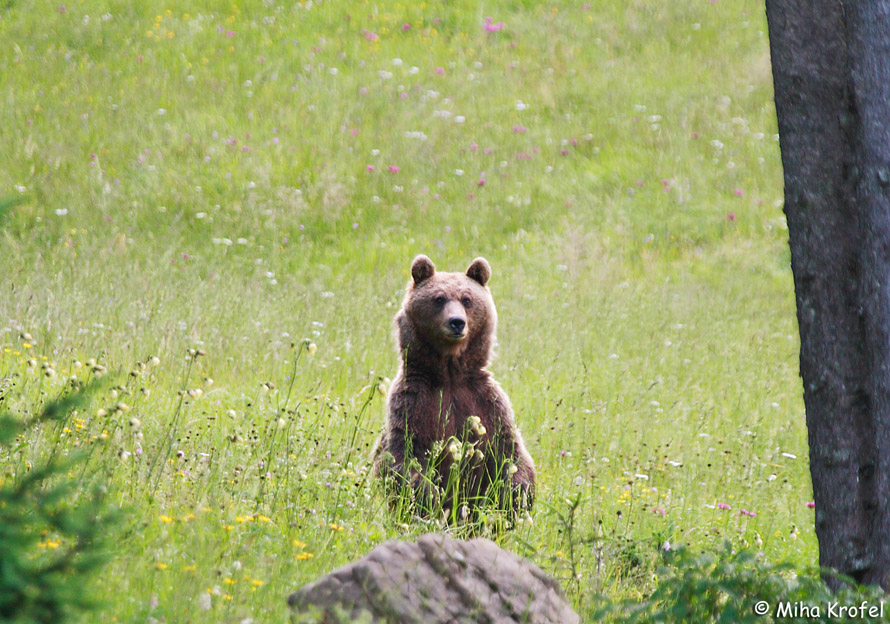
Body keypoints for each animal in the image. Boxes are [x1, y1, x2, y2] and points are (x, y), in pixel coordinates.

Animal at [372, 254, 536, 520]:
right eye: (439, 298)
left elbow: (510, 453)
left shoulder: (487, 403)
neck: (450, 376)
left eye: (466, 299)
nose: (456, 322)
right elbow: (401, 455)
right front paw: (429, 497)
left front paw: (514, 496)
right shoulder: (413, 401)